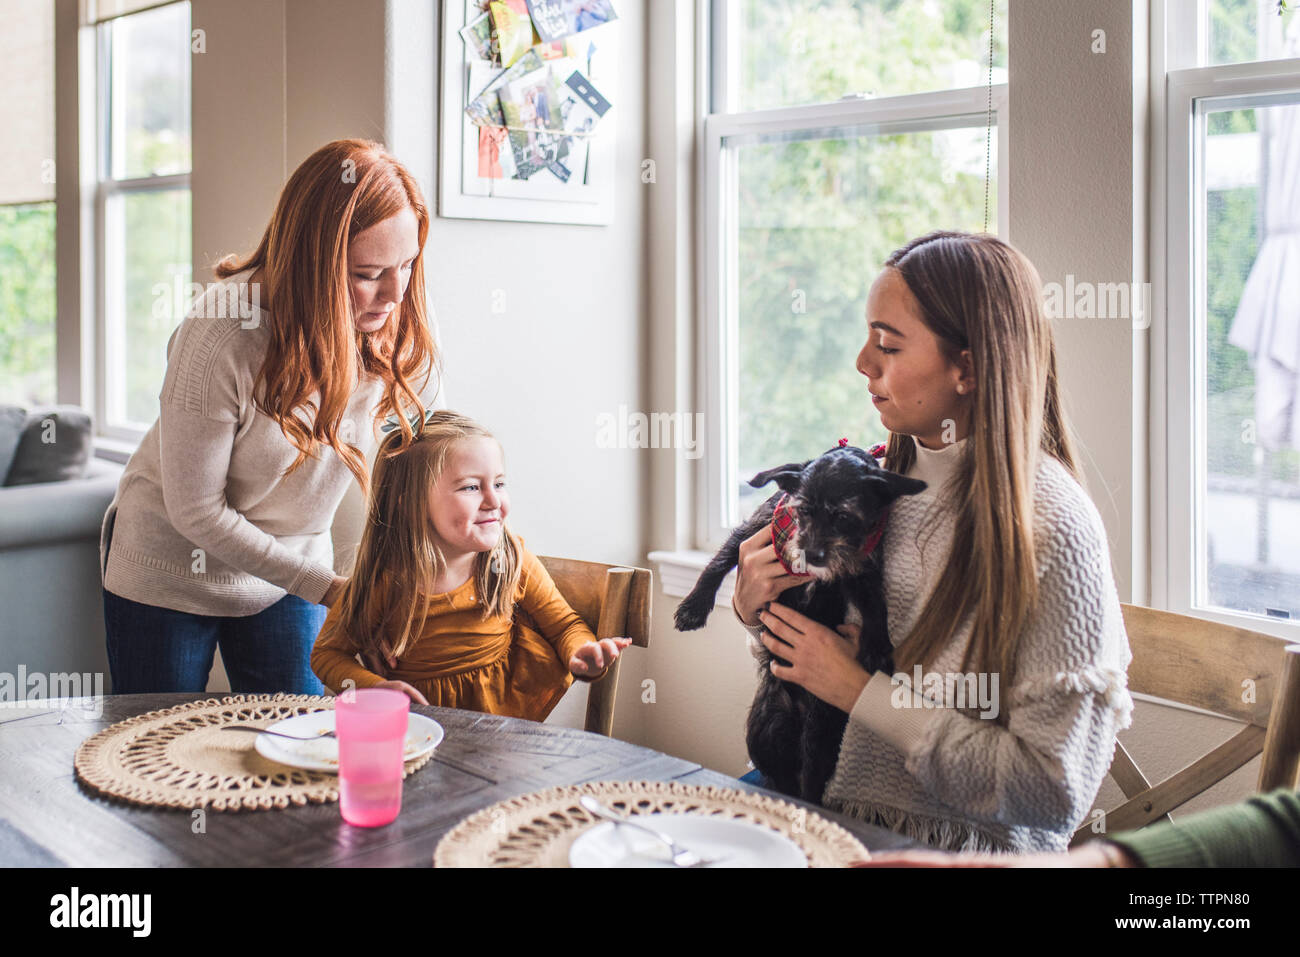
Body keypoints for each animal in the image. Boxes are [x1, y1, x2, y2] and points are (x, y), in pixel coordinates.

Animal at [670, 444, 925, 806]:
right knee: (780, 774)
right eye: (802, 509)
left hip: (822, 732)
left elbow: (876, 606)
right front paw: (693, 608)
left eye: (844, 517)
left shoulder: (859, 566)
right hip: (764, 727)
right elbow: (717, 564)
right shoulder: (752, 533)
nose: (813, 554)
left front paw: (877, 647)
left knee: (810, 781)